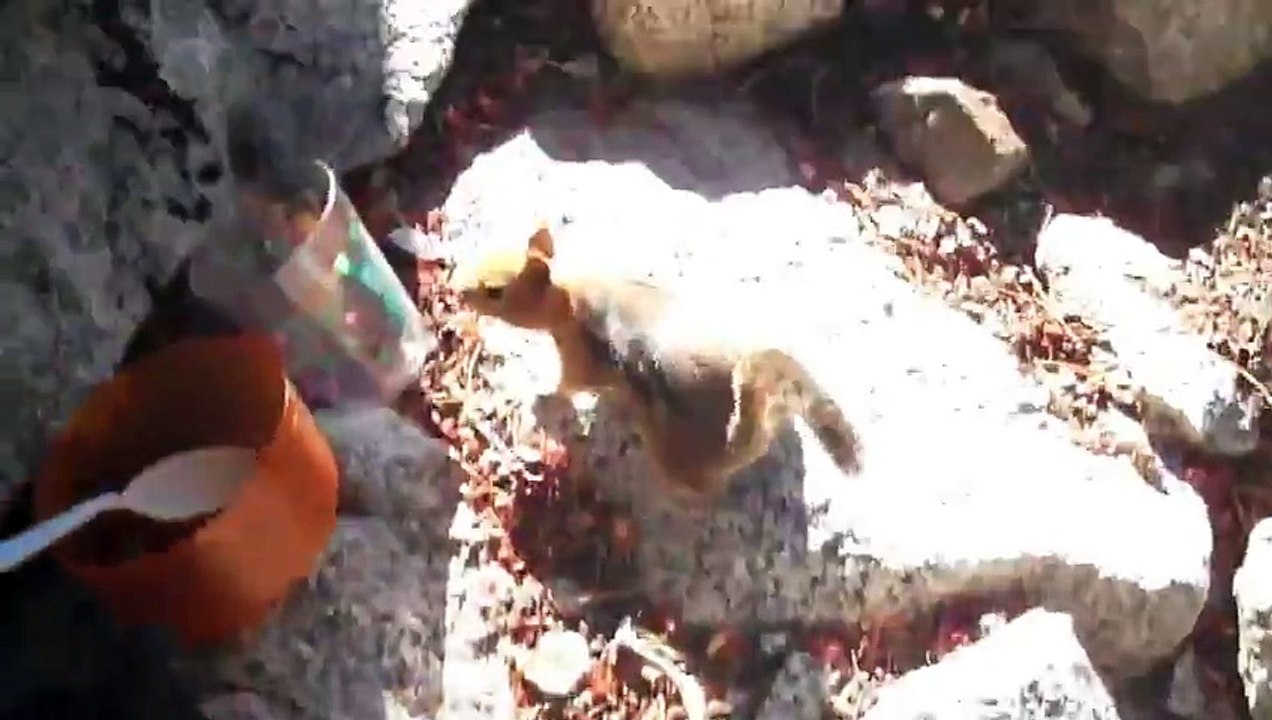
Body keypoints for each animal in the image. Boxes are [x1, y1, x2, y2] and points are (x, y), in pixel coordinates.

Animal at [447, 226, 863, 508]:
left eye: (495, 291)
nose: (455, 287)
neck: (570, 297)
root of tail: (740, 440)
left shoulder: (581, 358)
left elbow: (569, 385)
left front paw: (546, 398)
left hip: (674, 459)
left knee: (707, 491)